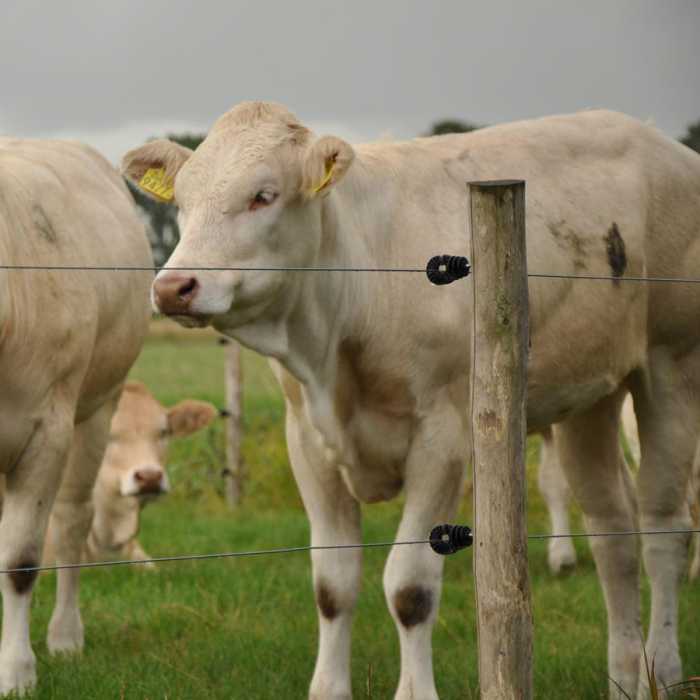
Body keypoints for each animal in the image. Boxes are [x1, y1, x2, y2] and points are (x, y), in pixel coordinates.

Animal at [0, 138, 152, 696]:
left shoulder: (46, 433)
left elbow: (20, 559)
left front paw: (17, 670)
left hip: (96, 409)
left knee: (70, 522)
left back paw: (66, 636)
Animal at [123, 101, 700, 696]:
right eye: (182, 201)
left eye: (264, 194)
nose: (173, 288)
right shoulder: (307, 441)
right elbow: (332, 584)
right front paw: (328, 688)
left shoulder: (442, 440)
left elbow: (410, 587)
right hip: (591, 399)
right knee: (614, 533)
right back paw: (626, 676)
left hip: (671, 366)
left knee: (664, 529)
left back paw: (664, 670)